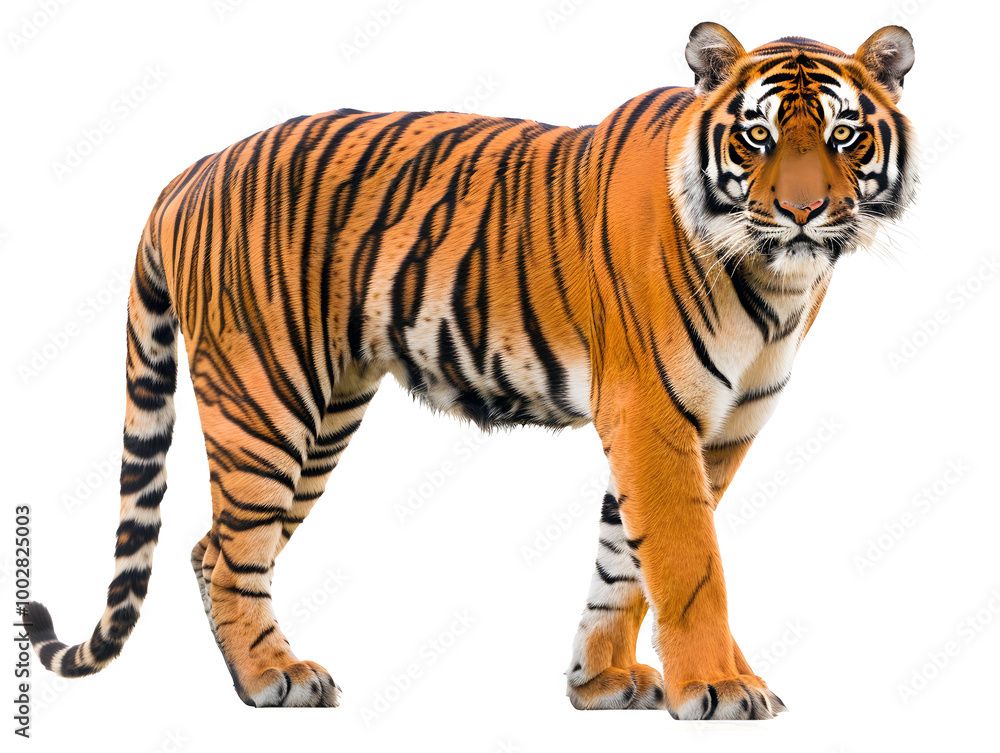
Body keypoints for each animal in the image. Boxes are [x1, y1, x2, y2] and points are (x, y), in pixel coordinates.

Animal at [25, 22, 917, 718]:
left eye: (843, 135)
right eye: (755, 135)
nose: (802, 210)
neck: (778, 280)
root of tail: (194, 168)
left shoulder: (720, 428)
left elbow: (624, 563)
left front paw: (600, 681)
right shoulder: (654, 415)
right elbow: (690, 562)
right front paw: (721, 688)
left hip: (324, 415)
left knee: (208, 547)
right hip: (265, 401)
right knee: (231, 551)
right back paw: (272, 676)